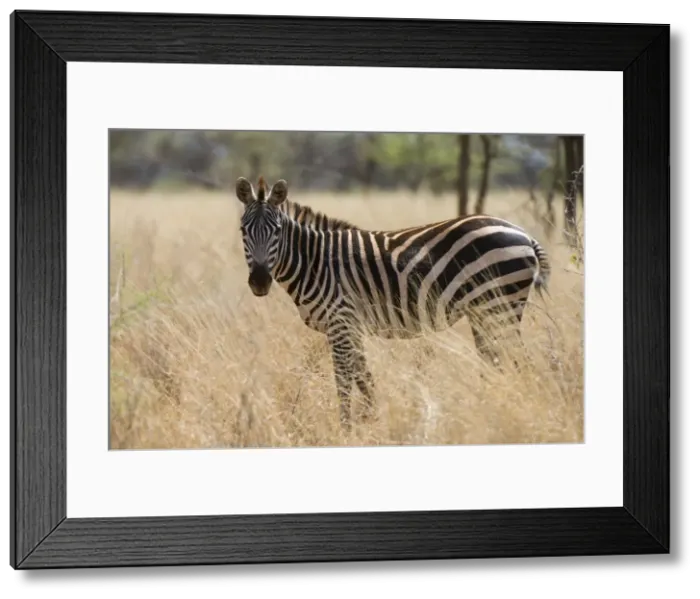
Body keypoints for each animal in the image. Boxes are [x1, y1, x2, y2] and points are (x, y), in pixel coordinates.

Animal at [235, 175, 552, 430]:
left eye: (277, 230)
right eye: (243, 231)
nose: (260, 282)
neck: (314, 261)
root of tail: (524, 234)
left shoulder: (340, 321)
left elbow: (344, 381)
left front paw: (346, 429)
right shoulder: (350, 327)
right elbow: (364, 379)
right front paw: (371, 421)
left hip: (500, 307)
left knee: (519, 362)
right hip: (485, 312)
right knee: (496, 361)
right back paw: (488, 407)